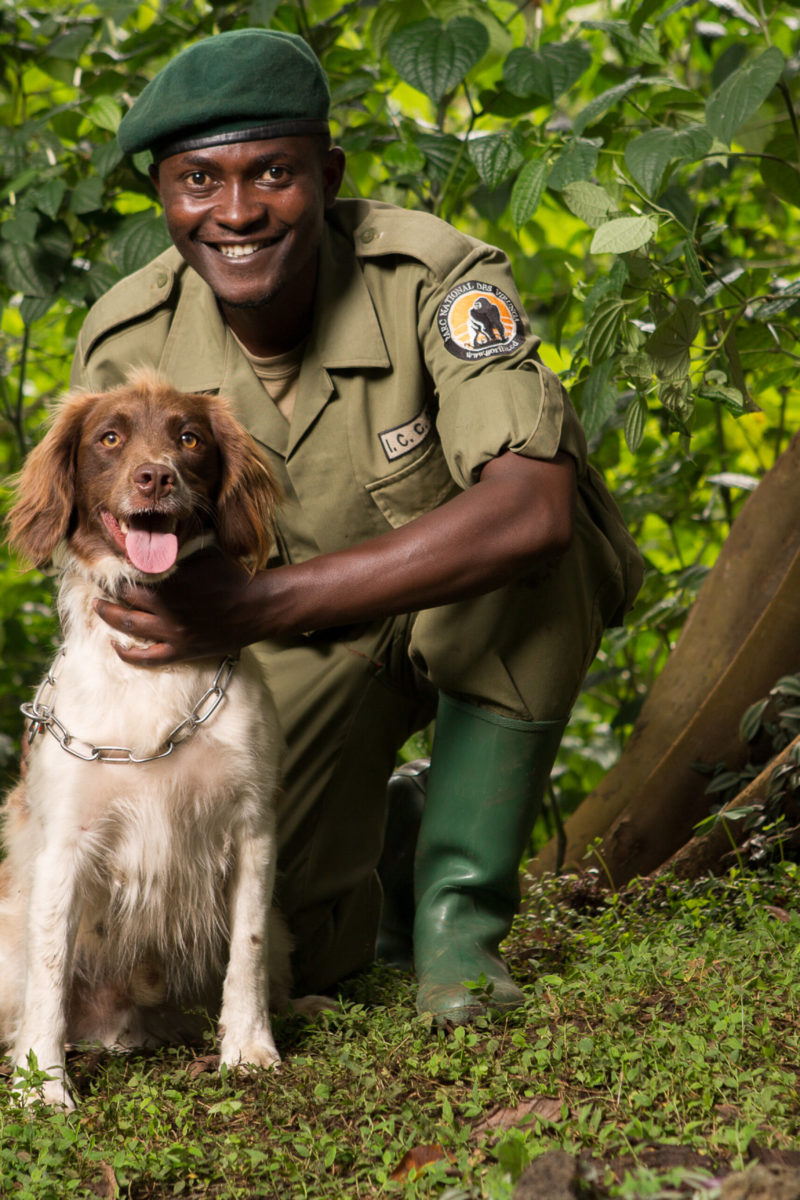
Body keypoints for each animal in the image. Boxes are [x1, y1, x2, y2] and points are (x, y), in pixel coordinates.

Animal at [0, 367, 291, 1104]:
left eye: (189, 439)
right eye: (109, 438)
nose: (155, 477)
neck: (150, 670)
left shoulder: (253, 826)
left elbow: (246, 952)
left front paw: (250, 1048)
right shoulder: (65, 842)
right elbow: (50, 968)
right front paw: (43, 1087)